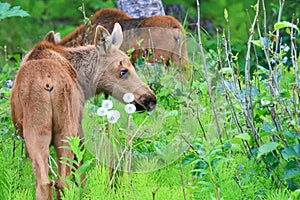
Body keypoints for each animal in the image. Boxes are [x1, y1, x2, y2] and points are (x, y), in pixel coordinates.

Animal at [10, 22, 156, 199]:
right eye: (123, 71)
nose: (150, 99)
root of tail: (47, 81)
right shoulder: (78, 124)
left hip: (41, 129)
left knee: (48, 181)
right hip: (64, 127)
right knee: (61, 180)